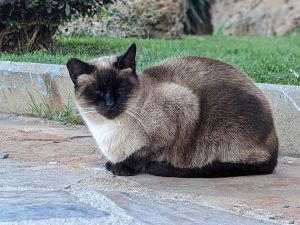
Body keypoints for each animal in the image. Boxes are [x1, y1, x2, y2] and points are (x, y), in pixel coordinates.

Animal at [67, 44, 278, 178]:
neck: (107, 131)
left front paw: (122, 167)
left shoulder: (181, 108)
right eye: (97, 92)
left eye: (121, 89)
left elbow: (144, 153)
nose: (110, 104)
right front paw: (112, 164)